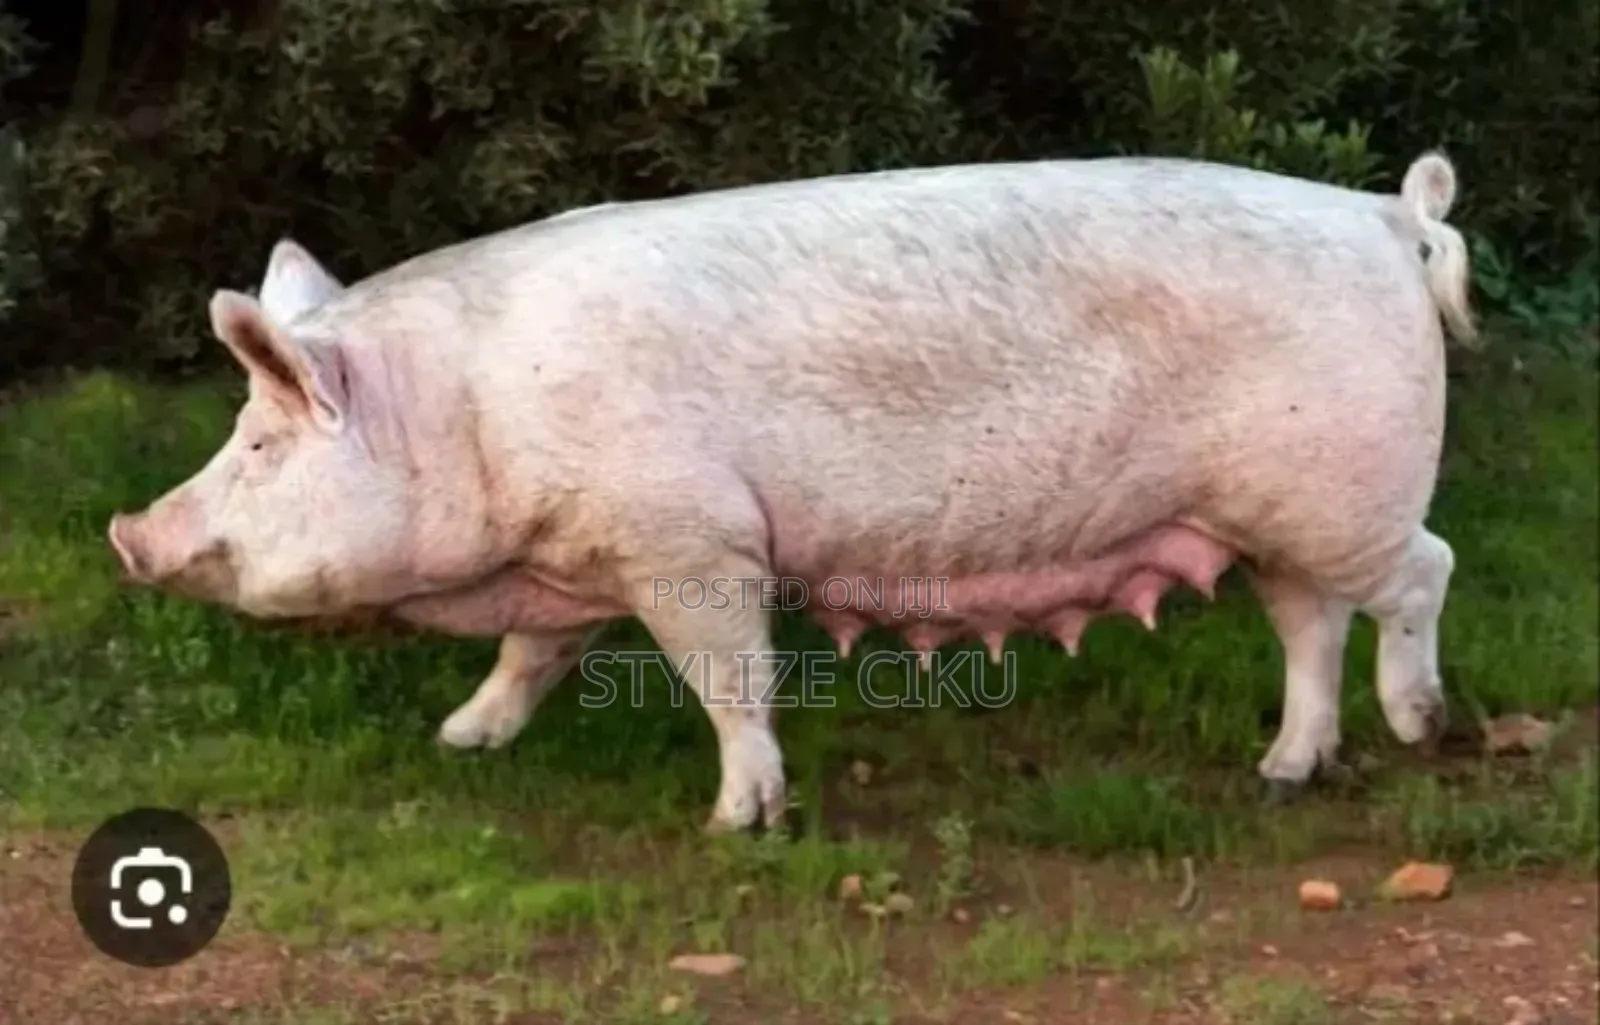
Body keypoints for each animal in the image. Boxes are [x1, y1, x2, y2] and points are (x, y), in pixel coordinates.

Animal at [108, 151, 1476, 831]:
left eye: (259, 444)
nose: (128, 530)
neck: (471, 407)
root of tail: (1382, 215)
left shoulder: (691, 539)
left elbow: (730, 677)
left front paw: (741, 820)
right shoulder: (578, 557)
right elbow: (530, 653)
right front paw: (460, 738)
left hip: (1342, 488)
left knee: (1425, 570)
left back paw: (1420, 728)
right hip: (1281, 513)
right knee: (1307, 619)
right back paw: (1283, 771)